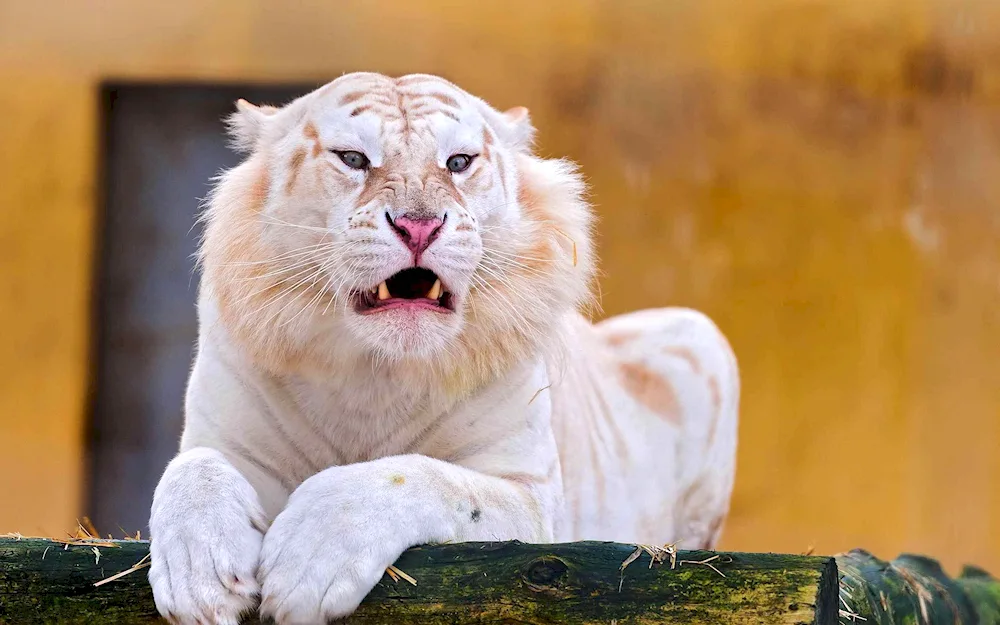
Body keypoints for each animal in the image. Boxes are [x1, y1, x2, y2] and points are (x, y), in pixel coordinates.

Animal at [150, 70, 744, 620]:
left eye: (458, 162)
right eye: (352, 158)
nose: (419, 226)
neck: (374, 372)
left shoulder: (533, 500)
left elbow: (424, 477)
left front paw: (306, 561)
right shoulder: (227, 438)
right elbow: (192, 468)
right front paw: (198, 579)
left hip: (699, 335)